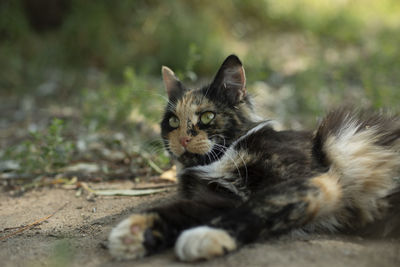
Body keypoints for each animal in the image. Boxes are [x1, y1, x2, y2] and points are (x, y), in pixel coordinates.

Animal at [106, 54, 400, 262]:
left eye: (207, 116)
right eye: (173, 121)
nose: (184, 140)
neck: (220, 158)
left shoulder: (314, 179)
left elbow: (260, 204)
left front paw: (206, 236)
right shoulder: (219, 198)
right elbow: (182, 210)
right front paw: (135, 233)